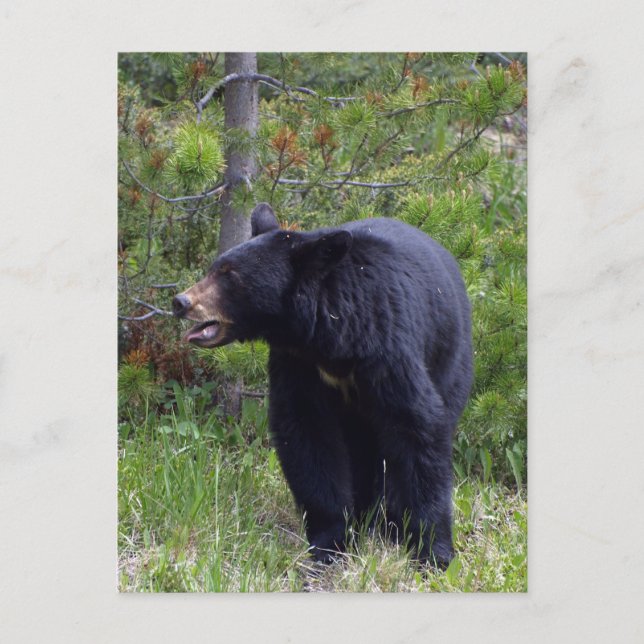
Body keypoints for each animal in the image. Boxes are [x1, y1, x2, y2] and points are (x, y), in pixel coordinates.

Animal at [172, 203, 473, 567]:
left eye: (230, 276)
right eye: (214, 268)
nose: (181, 301)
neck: (333, 337)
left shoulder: (388, 348)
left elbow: (417, 427)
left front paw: (432, 552)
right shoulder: (297, 364)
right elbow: (307, 434)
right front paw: (331, 542)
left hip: (451, 361)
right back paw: (366, 517)